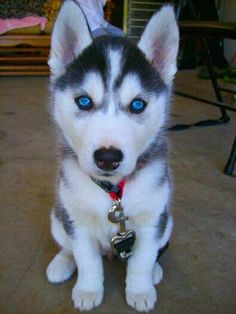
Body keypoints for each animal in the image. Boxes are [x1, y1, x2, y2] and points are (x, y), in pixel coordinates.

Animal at [46, 1, 179, 312]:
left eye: (138, 104)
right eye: (84, 101)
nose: (107, 157)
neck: (113, 192)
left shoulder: (153, 218)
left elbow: (142, 260)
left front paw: (140, 290)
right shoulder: (76, 219)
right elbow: (86, 260)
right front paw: (88, 289)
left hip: (167, 222)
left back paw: (155, 271)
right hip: (58, 217)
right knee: (68, 247)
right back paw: (61, 263)